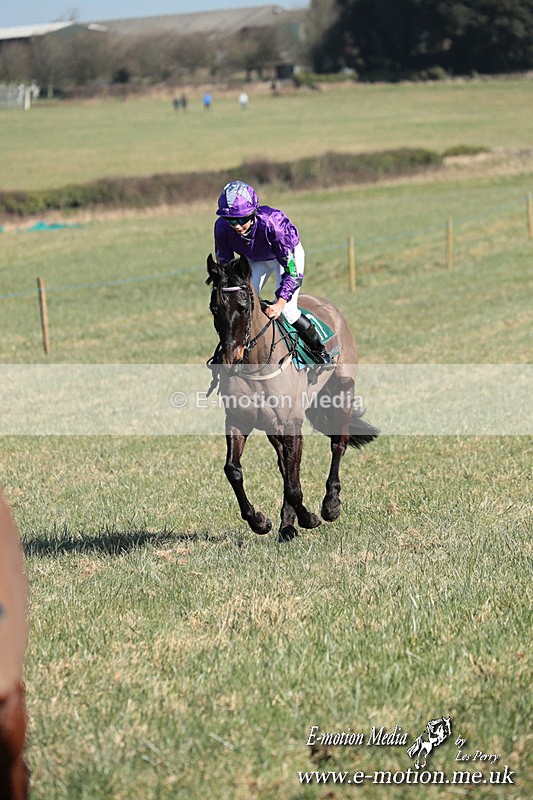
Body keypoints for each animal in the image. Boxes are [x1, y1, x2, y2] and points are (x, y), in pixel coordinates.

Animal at [206, 253, 378, 542]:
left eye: (243, 307)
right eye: (214, 308)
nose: (230, 359)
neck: (257, 363)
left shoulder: (291, 423)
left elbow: (294, 483)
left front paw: (310, 518)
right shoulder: (239, 420)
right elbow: (234, 470)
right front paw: (260, 521)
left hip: (342, 392)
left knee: (338, 444)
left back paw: (330, 505)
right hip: (272, 426)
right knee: (284, 465)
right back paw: (287, 525)